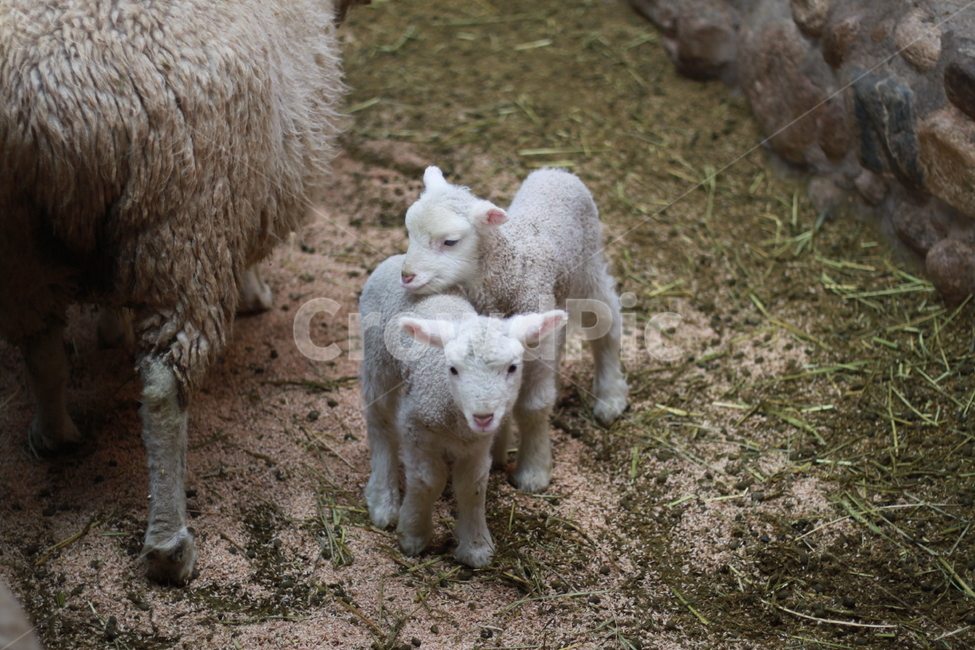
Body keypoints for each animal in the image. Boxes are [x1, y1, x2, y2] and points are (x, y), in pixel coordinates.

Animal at [0, 0, 365, 584]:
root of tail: (55, 104)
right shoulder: (248, 183)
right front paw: (254, 294)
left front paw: (111, 324)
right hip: (184, 221)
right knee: (161, 389)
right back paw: (169, 546)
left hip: (21, 246)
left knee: (42, 350)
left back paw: (52, 433)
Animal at [359, 254, 567, 567]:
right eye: (453, 369)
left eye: (513, 367)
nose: (483, 416)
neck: (453, 415)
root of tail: (395, 258)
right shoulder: (414, 426)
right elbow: (427, 481)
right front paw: (413, 535)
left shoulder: (477, 443)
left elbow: (472, 486)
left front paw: (476, 547)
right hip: (377, 360)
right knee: (380, 423)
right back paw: (383, 501)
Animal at [399, 167, 629, 493]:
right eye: (409, 232)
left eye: (450, 242)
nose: (406, 276)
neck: (512, 270)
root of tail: (556, 170)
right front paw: (498, 450)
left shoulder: (537, 343)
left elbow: (534, 406)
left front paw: (533, 472)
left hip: (589, 265)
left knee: (606, 321)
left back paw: (610, 397)